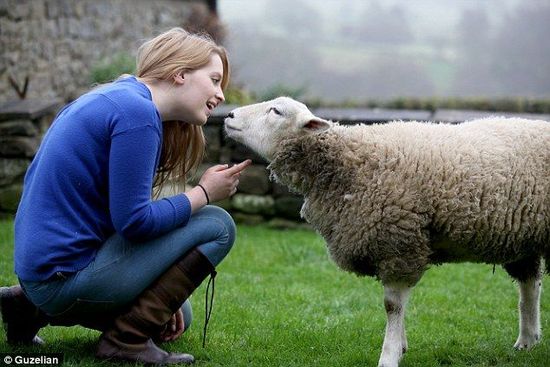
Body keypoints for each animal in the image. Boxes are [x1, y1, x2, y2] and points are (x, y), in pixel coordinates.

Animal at [225, 97, 550, 367]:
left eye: (276, 111)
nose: (228, 115)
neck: (347, 163)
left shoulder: (398, 243)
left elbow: (392, 306)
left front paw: (390, 354)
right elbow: (399, 307)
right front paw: (401, 345)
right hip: (521, 236)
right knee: (529, 285)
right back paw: (527, 340)